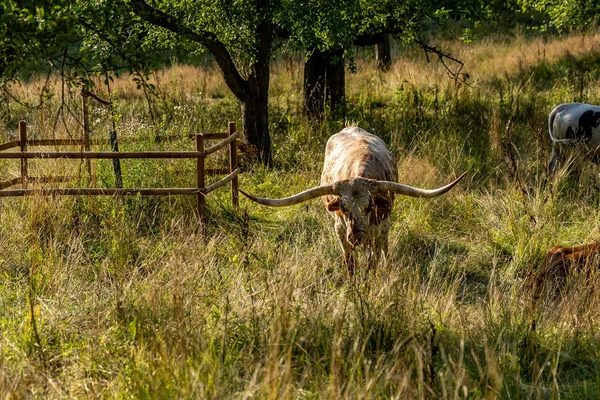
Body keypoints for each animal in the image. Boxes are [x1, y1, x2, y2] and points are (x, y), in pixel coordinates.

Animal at [241, 127, 466, 276]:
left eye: (369, 205)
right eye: (343, 206)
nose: (356, 236)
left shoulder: (378, 229)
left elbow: (373, 261)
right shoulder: (340, 229)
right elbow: (350, 262)